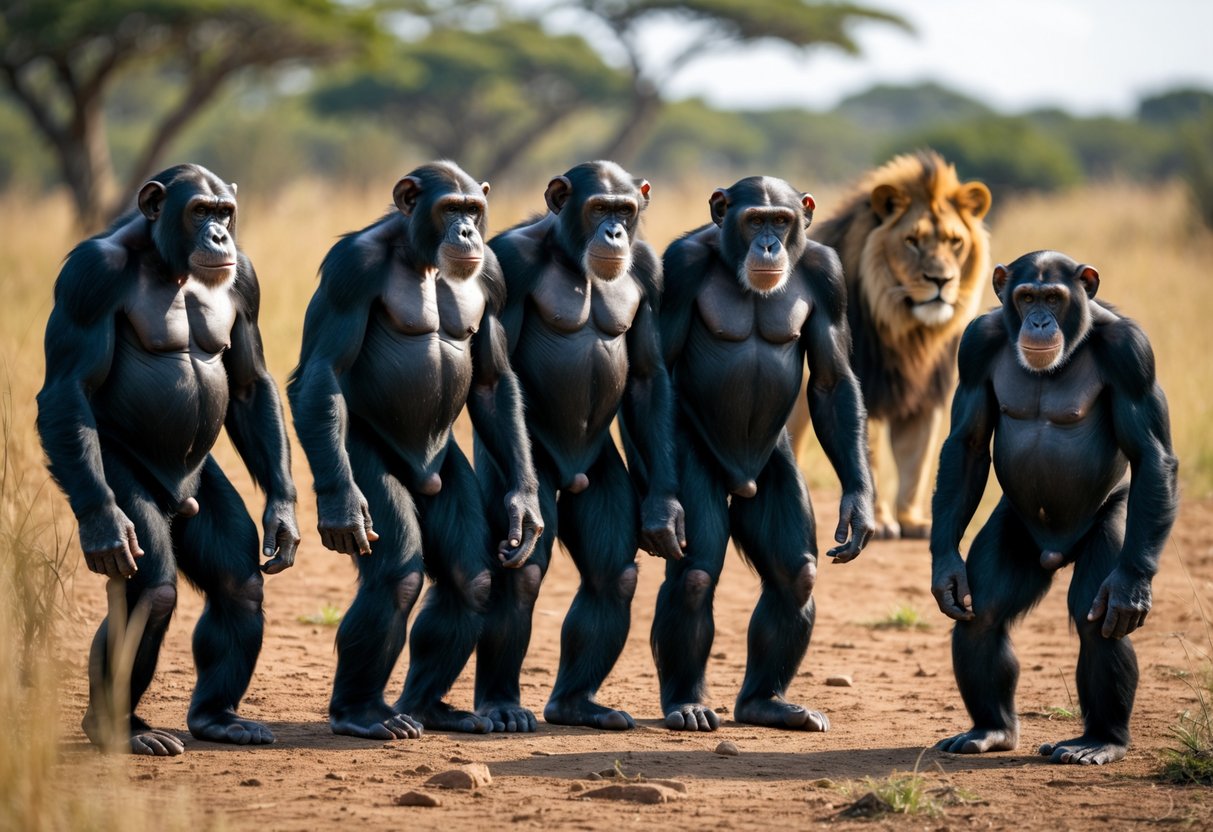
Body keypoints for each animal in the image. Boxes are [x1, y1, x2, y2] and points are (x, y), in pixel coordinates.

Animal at [787, 150, 992, 539]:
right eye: (912, 240)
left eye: (955, 242)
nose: (941, 280)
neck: (910, 331)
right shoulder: (868, 385)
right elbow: (872, 458)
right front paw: (880, 521)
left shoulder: (925, 395)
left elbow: (917, 459)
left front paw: (912, 521)